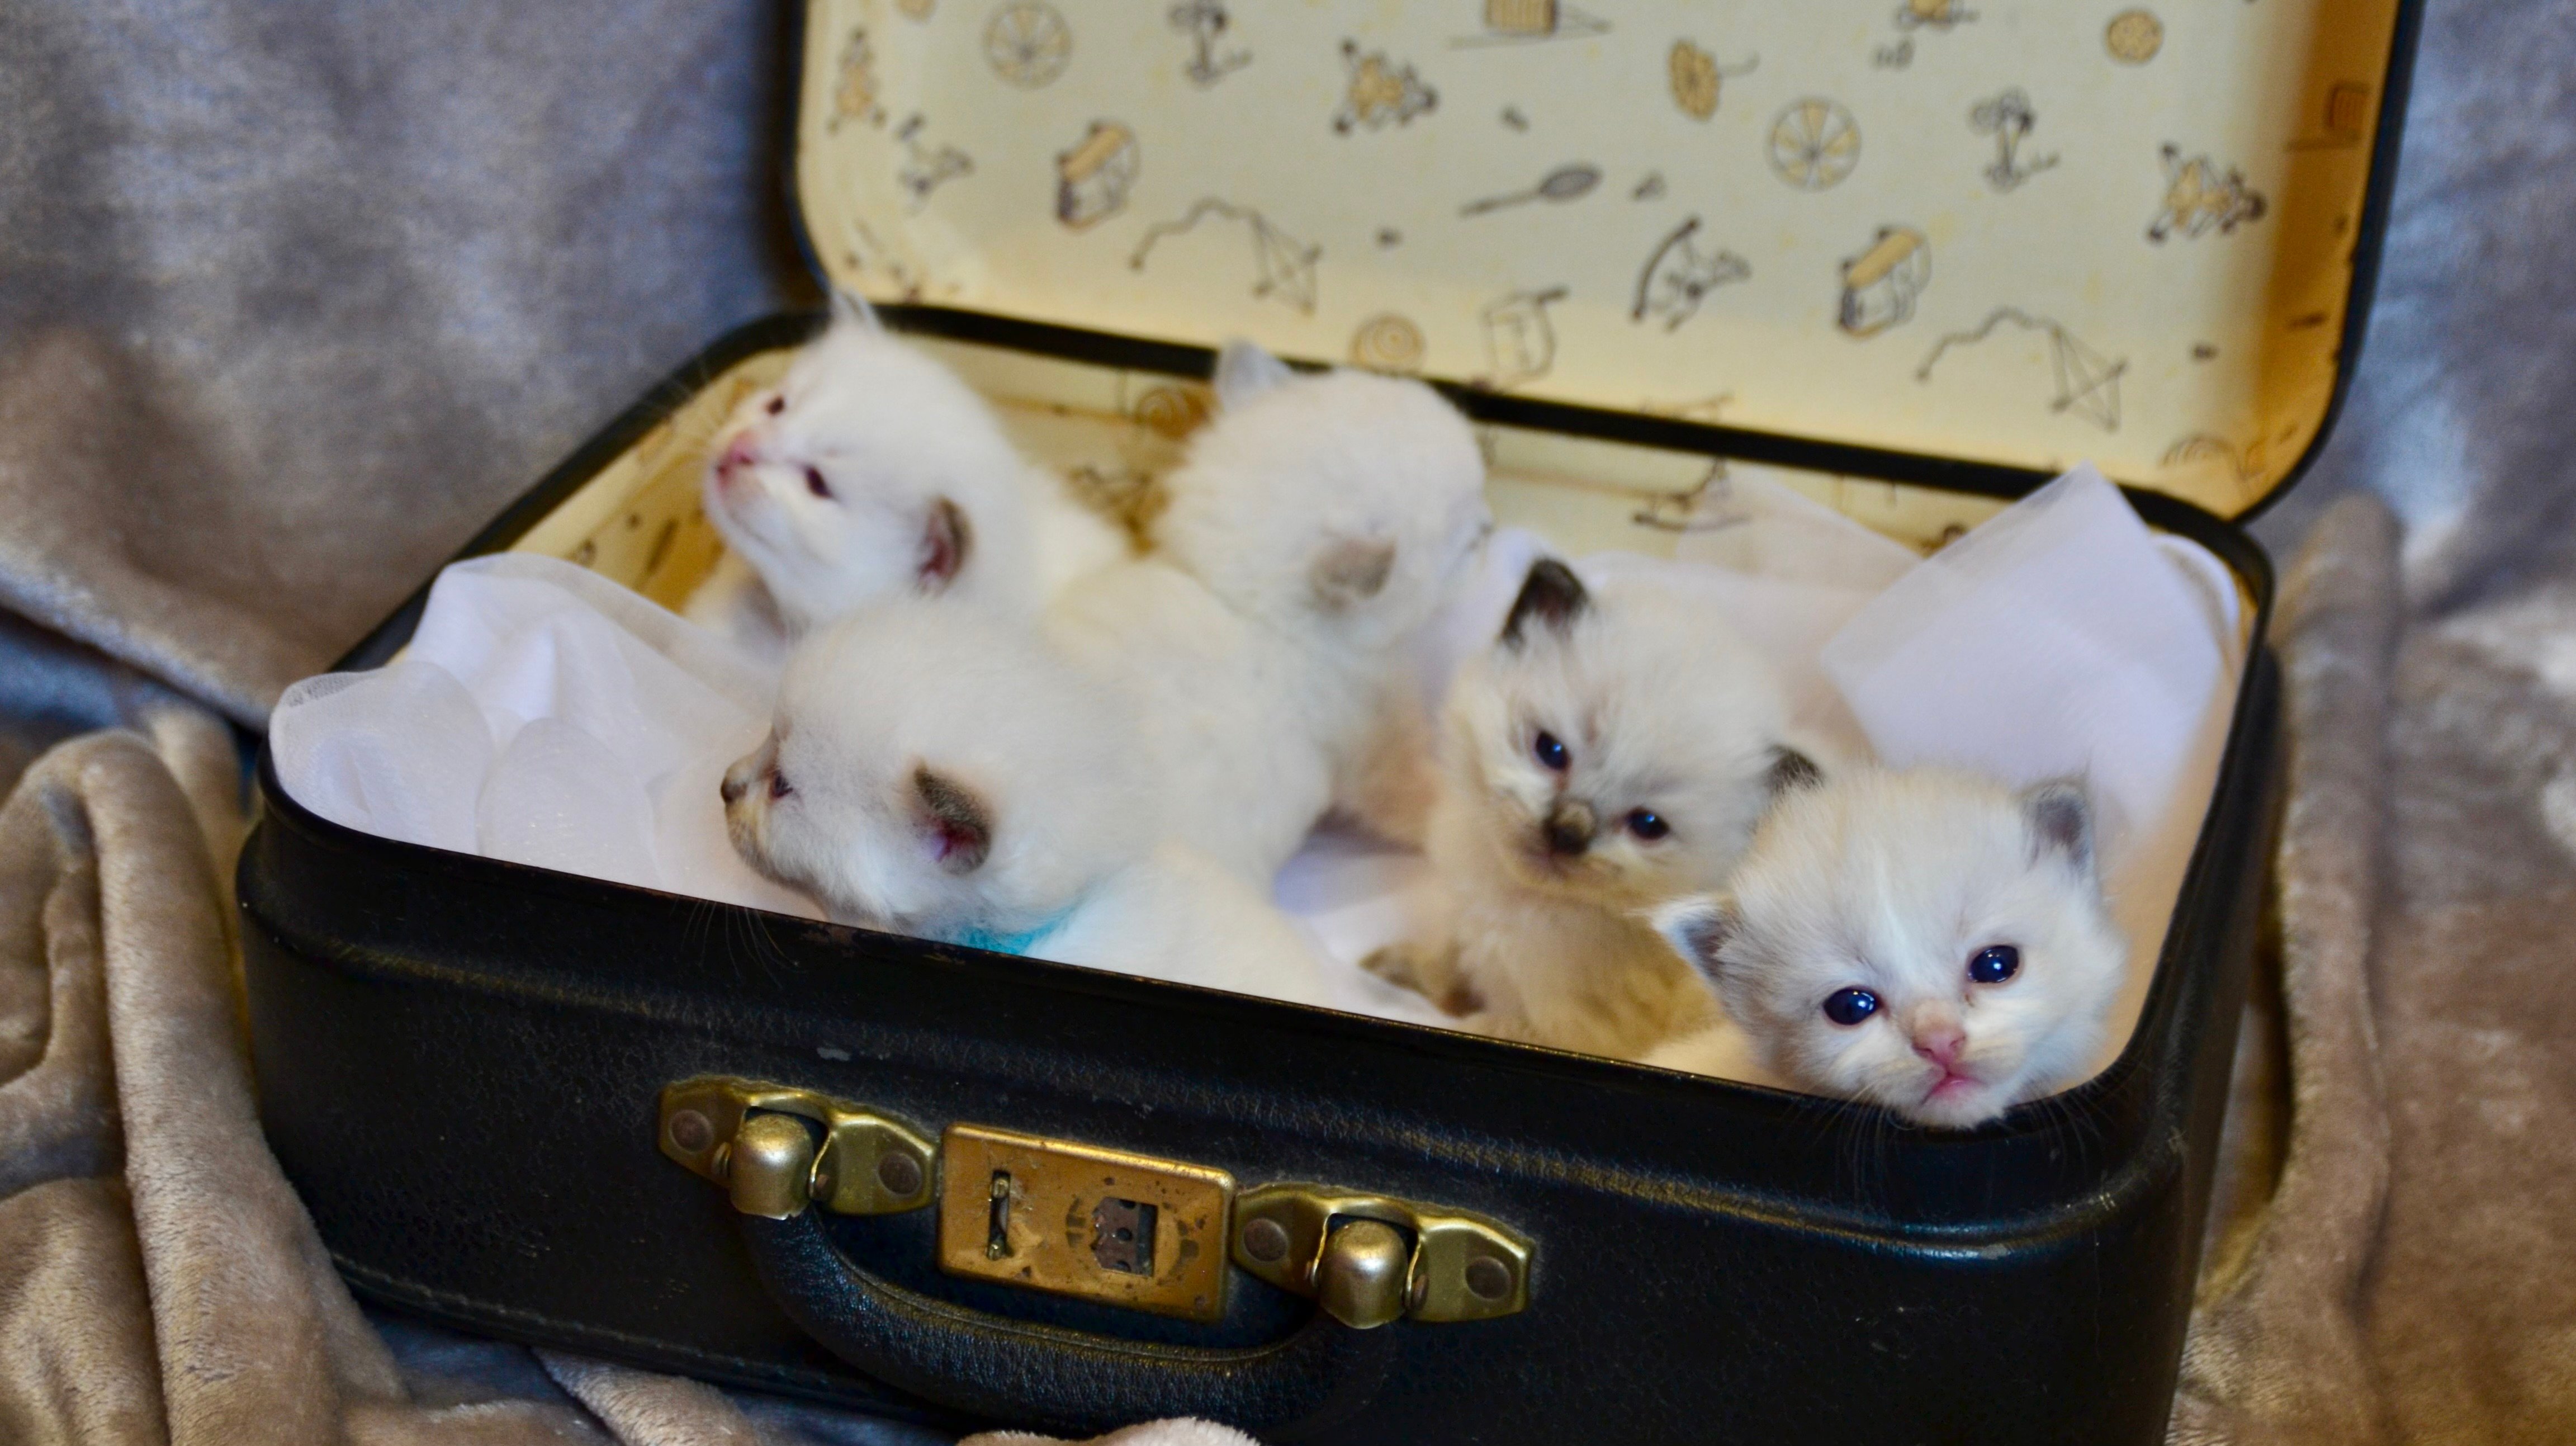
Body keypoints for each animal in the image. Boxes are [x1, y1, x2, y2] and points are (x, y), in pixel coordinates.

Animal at [1370, 561, 1813, 1062]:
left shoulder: (1580, 1031)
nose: (1566, 831)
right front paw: (1402, 970)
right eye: (1551, 750)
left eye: (1647, 825)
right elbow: (1449, 959)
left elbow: (1486, 1026)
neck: (1528, 901)